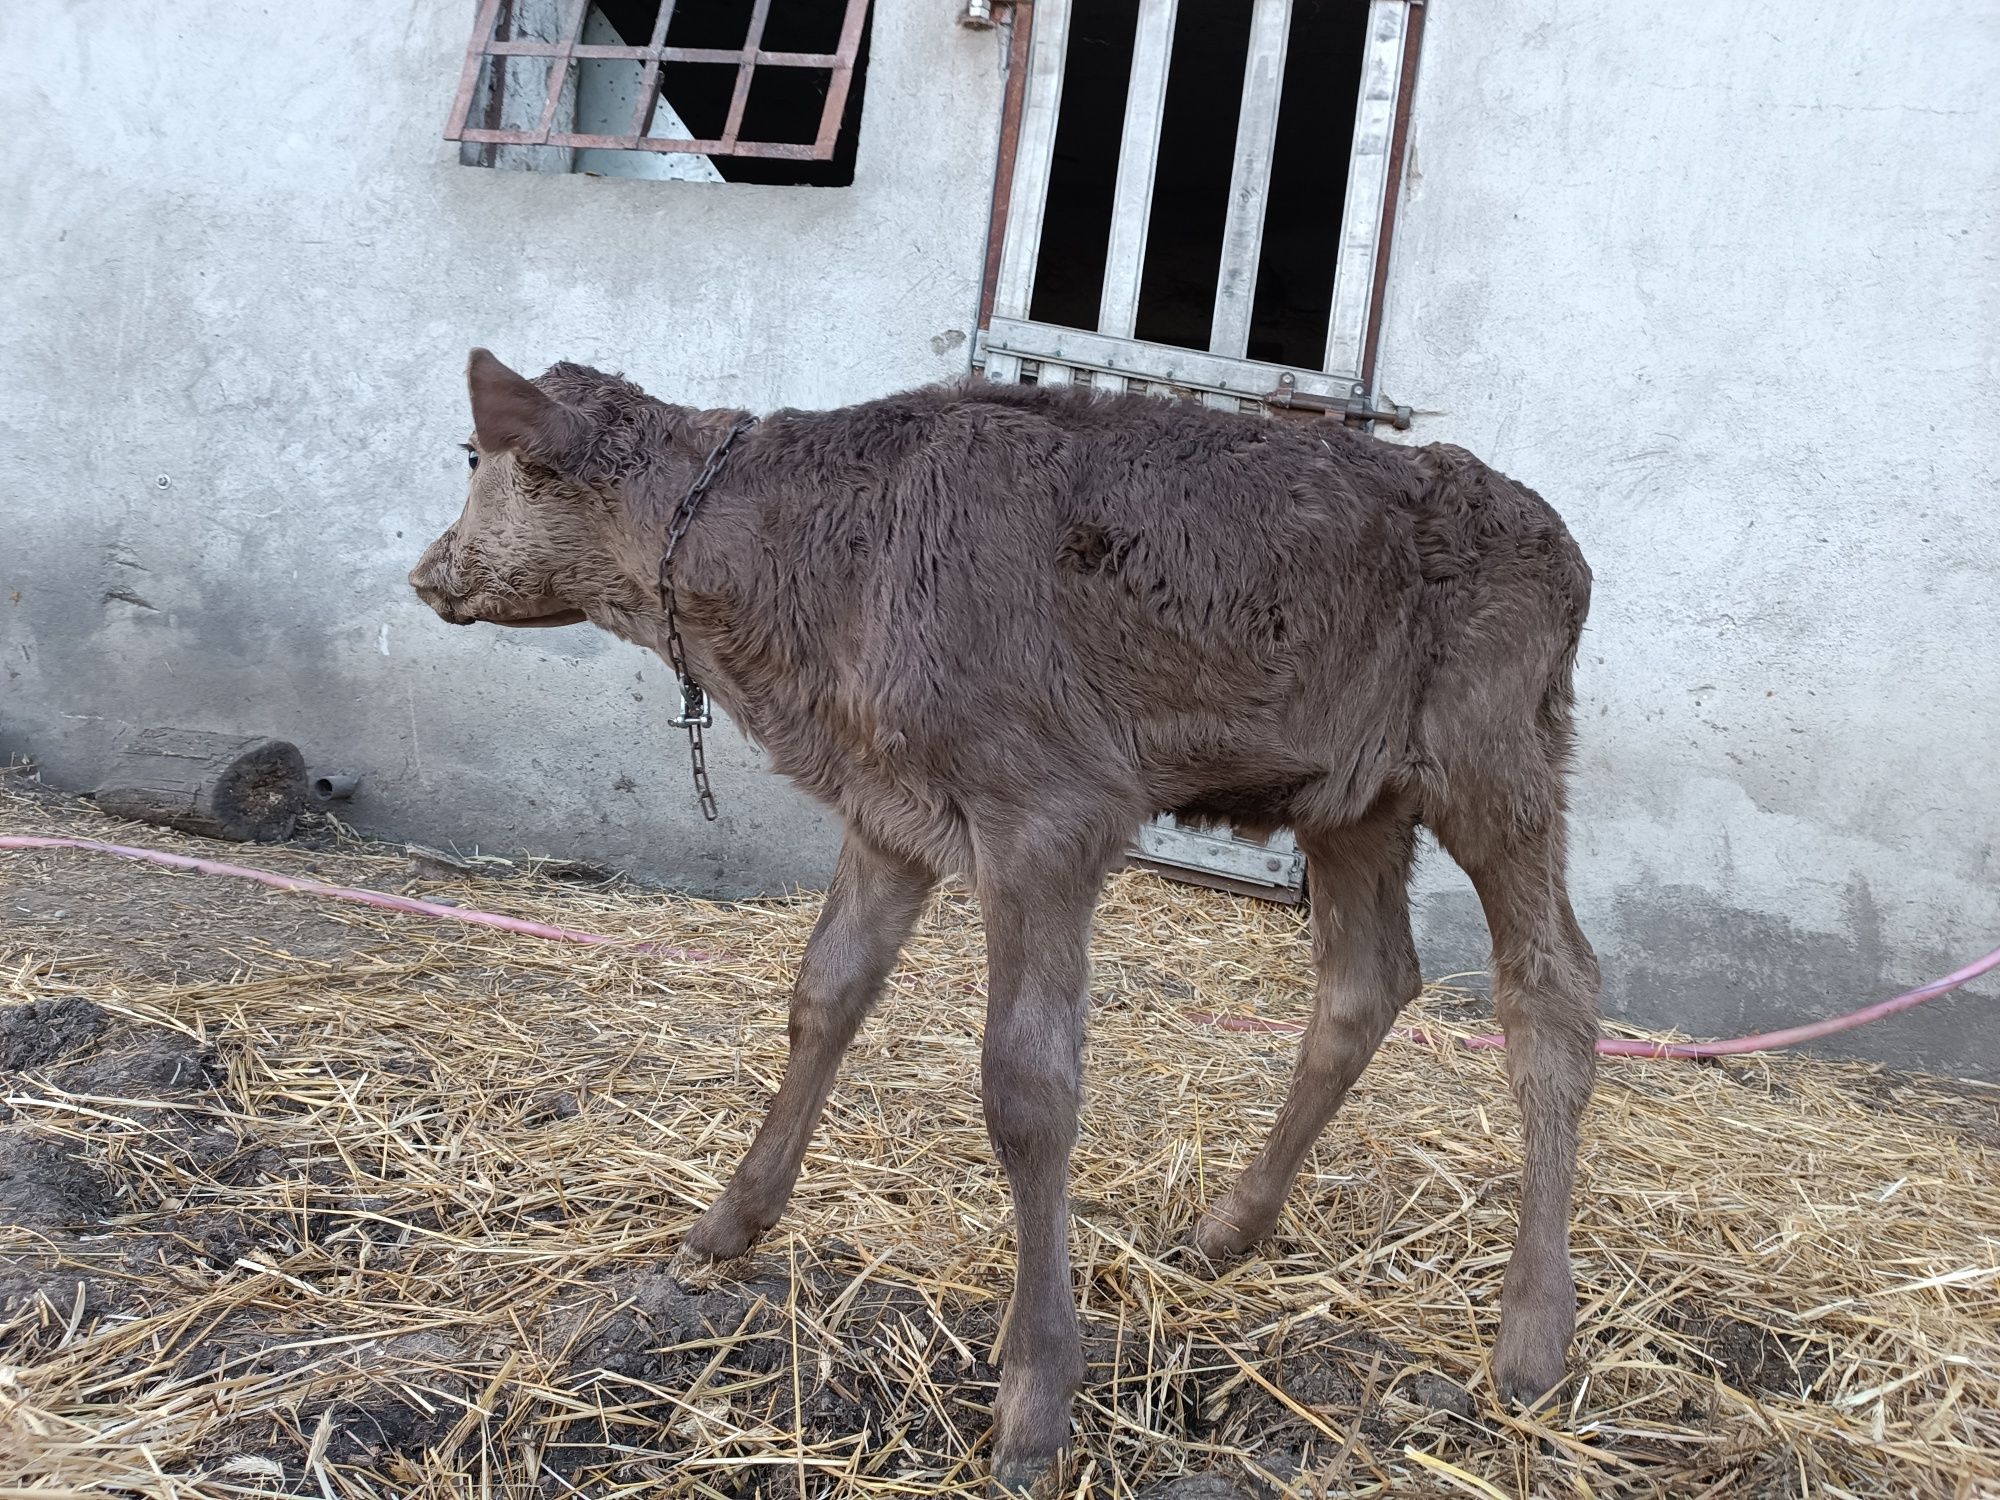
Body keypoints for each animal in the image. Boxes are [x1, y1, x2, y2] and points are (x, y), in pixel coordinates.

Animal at [414, 352, 1600, 1496]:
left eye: (471, 454)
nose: (429, 570)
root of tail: (1565, 548)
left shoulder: (1045, 814)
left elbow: (1027, 1092)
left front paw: (1035, 1401)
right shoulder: (889, 812)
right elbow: (823, 994)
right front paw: (726, 1223)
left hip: (1497, 761)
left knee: (1554, 988)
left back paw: (1532, 1340)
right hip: (1351, 798)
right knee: (1367, 980)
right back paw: (1227, 1228)